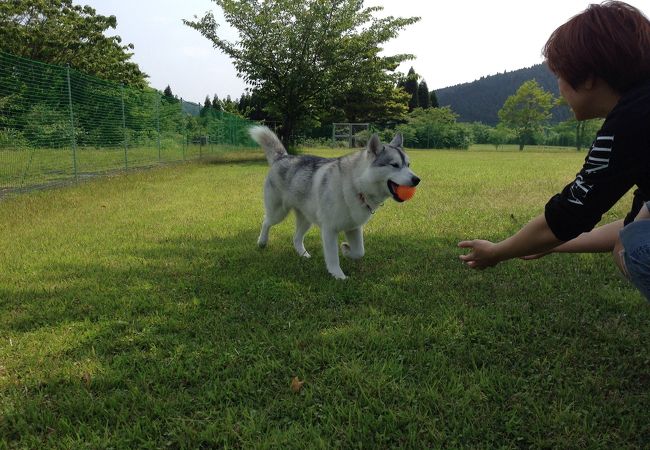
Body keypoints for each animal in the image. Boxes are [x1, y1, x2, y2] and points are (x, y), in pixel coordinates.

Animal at [248, 124, 420, 278]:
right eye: (395, 165)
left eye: (408, 165)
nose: (417, 179)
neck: (355, 184)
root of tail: (283, 156)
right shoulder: (329, 229)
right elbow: (332, 257)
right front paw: (338, 275)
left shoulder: (354, 227)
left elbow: (360, 251)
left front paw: (346, 250)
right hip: (278, 212)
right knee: (266, 221)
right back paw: (262, 242)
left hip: (306, 219)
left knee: (296, 238)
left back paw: (303, 254)